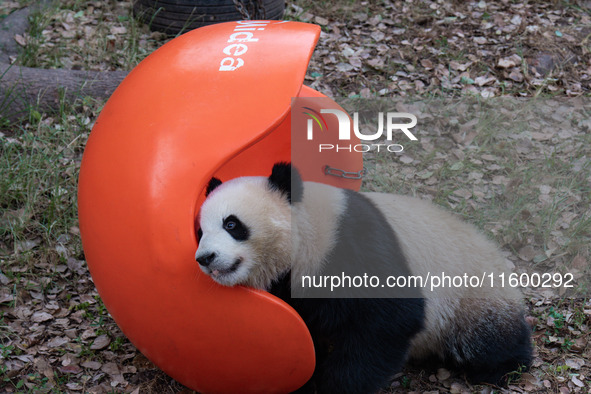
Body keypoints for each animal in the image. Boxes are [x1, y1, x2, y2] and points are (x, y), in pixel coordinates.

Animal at [194, 162, 532, 392]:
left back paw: (504, 366)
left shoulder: (350, 245)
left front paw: (333, 386)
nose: (204, 258)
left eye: (231, 224)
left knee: (485, 339)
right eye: (200, 230)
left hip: (470, 295)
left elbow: (389, 320)